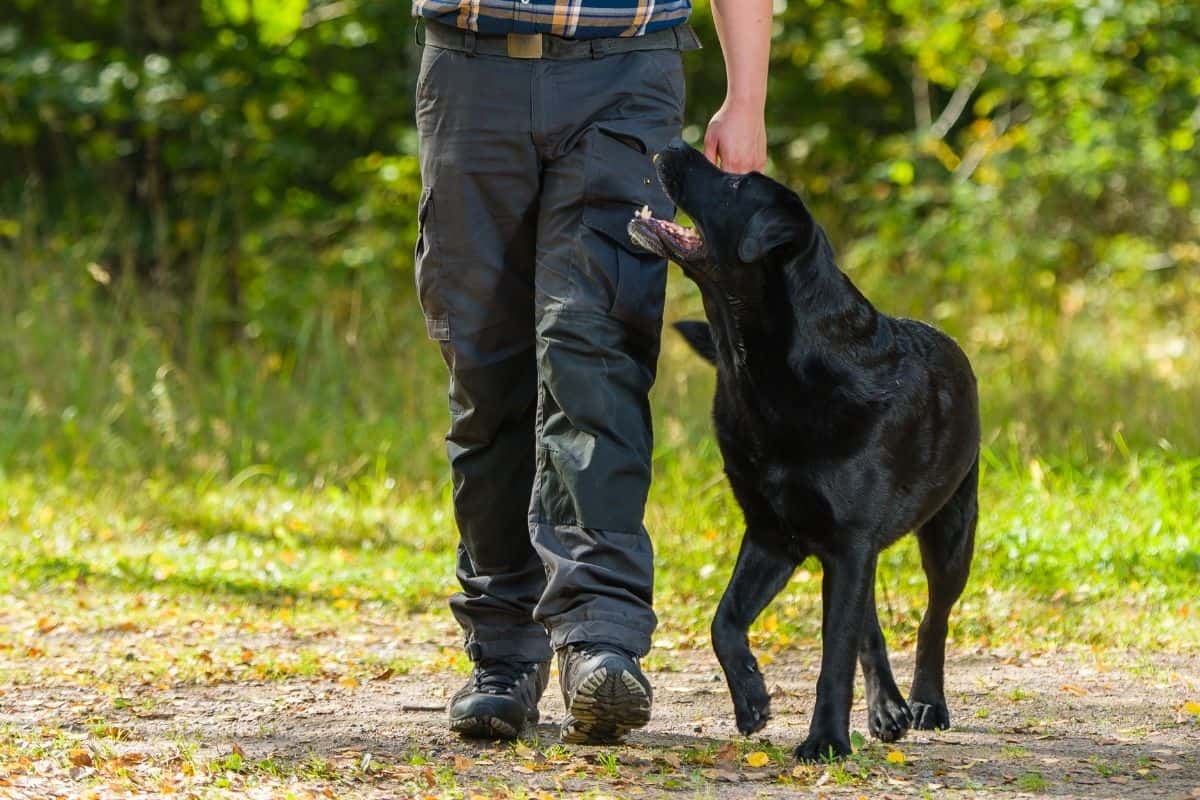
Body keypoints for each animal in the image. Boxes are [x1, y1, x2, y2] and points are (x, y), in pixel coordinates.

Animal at [624, 140, 979, 762]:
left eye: (736, 185)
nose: (671, 144)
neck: (760, 366)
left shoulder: (848, 543)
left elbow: (833, 657)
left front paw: (826, 740)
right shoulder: (774, 535)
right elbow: (724, 621)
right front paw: (752, 700)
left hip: (953, 527)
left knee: (933, 618)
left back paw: (925, 703)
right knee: (870, 625)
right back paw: (887, 709)